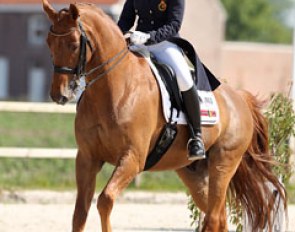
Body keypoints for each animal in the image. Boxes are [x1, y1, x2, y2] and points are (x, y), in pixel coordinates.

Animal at [43, 0, 286, 231]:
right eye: (48, 43)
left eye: (74, 45)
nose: (59, 95)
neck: (115, 88)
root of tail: (239, 97)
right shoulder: (87, 157)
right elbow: (79, 212)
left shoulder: (132, 158)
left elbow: (105, 200)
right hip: (193, 172)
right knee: (218, 218)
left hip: (223, 163)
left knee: (214, 217)